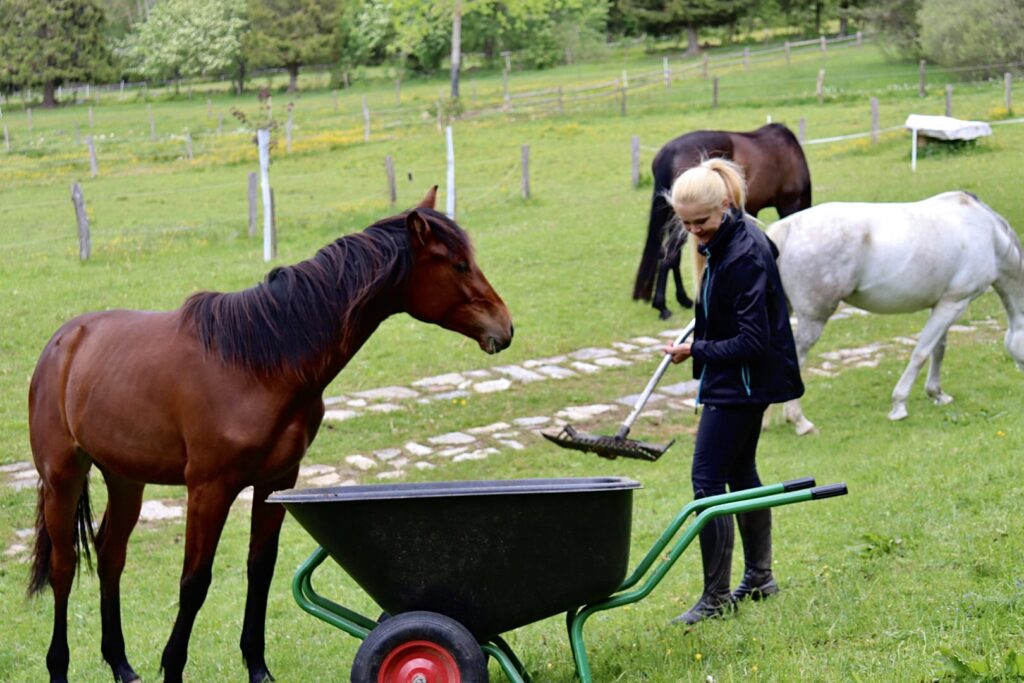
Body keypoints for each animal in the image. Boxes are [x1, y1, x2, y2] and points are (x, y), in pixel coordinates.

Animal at [25, 187, 512, 683]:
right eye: (459, 265)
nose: (504, 326)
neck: (260, 363)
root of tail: (64, 341)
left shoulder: (277, 481)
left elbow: (260, 571)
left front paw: (257, 668)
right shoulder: (209, 489)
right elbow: (194, 582)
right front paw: (173, 666)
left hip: (126, 479)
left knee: (110, 555)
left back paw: (122, 665)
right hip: (63, 477)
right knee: (64, 567)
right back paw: (59, 667)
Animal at [626, 123, 811, 321]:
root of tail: (668, 153)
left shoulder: (750, 209)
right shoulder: (788, 205)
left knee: (670, 256)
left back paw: (683, 299)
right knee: (669, 255)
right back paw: (662, 306)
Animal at [770, 189, 1024, 436]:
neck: (990, 236)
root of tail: (787, 229)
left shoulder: (944, 304)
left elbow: (938, 349)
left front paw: (938, 394)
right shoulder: (954, 304)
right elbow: (921, 353)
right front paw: (899, 406)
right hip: (813, 320)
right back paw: (801, 422)